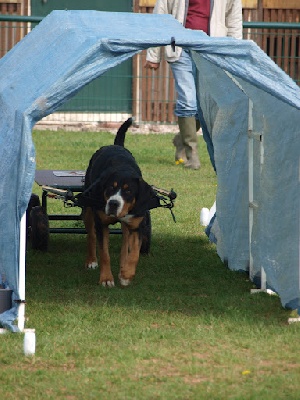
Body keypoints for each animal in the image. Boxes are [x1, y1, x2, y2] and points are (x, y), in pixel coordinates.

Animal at [82, 117, 157, 286]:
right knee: (91, 235)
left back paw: (123, 266)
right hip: (89, 209)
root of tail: (116, 146)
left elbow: (134, 253)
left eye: (128, 191)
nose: (113, 203)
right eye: (110, 188)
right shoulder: (102, 224)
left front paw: (126, 275)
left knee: (124, 245)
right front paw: (106, 279)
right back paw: (91, 261)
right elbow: (104, 253)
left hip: (127, 226)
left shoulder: (137, 226)